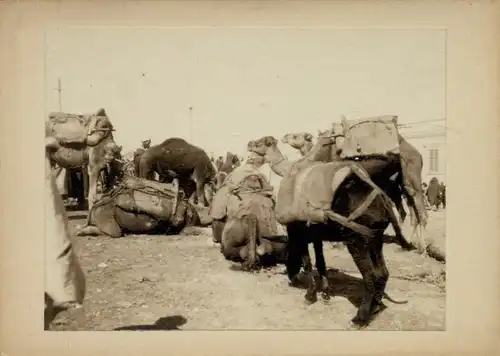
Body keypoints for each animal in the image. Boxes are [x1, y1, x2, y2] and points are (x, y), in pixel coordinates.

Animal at [247, 135, 414, 326]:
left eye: (260, 143)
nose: (249, 146)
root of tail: (380, 199)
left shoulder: (297, 230)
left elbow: (307, 262)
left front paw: (310, 295)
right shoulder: (316, 233)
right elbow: (321, 262)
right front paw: (325, 293)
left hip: (357, 239)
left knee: (371, 275)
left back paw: (361, 317)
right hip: (374, 238)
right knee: (382, 273)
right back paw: (376, 308)